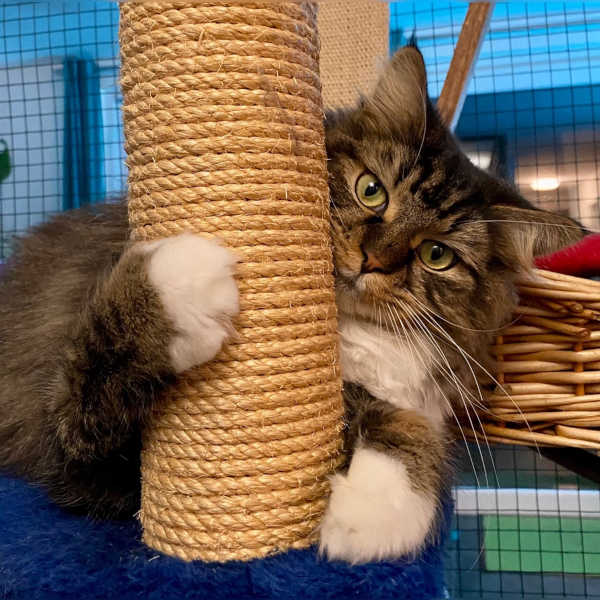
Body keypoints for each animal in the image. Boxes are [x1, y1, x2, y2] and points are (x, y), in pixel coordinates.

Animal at [0, 45, 580, 564]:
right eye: (372, 190)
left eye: (437, 255)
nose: (373, 260)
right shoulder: (76, 450)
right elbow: (100, 356)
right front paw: (188, 277)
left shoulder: (411, 397)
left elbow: (408, 432)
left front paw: (371, 518)